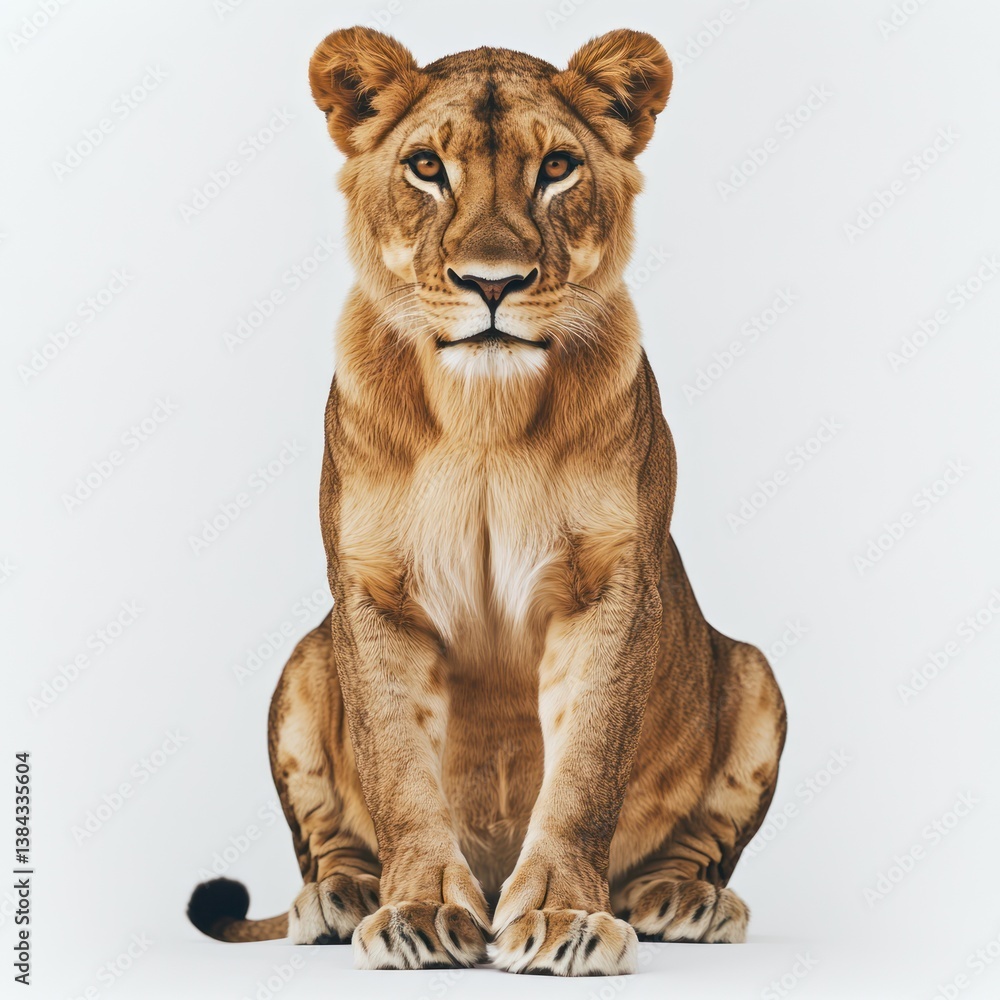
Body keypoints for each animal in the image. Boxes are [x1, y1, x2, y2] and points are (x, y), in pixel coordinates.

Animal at [186, 26, 786, 976]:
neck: (483, 419)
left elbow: (584, 769)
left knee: (697, 844)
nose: (493, 282)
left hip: (757, 674)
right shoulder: (373, 593)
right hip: (304, 663)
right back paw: (343, 895)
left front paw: (563, 917)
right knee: (324, 840)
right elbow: (399, 767)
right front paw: (421, 909)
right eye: (427, 166)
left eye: (558, 168)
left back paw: (681, 899)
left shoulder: (613, 584)